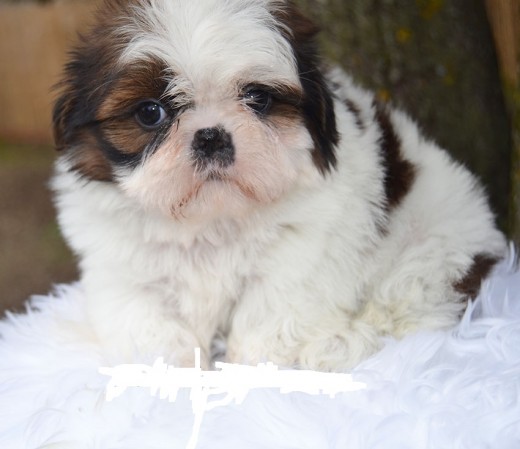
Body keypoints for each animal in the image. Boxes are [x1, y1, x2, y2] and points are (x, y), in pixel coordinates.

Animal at [52, 0, 508, 370]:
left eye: (258, 99)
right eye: (150, 112)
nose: (211, 136)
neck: (212, 218)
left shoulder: (299, 257)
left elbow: (270, 313)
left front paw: (255, 371)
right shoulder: (124, 267)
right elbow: (147, 322)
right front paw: (165, 373)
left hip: (434, 250)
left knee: (409, 306)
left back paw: (337, 345)